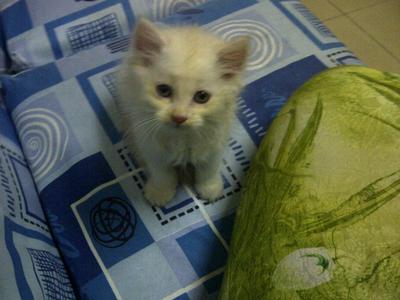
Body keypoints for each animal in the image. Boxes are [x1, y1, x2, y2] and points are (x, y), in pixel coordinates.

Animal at [115, 18, 248, 206]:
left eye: (202, 97)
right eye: (163, 90)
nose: (179, 117)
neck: (181, 138)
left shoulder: (215, 143)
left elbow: (208, 170)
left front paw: (210, 189)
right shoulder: (151, 146)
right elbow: (161, 174)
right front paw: (160, 193)